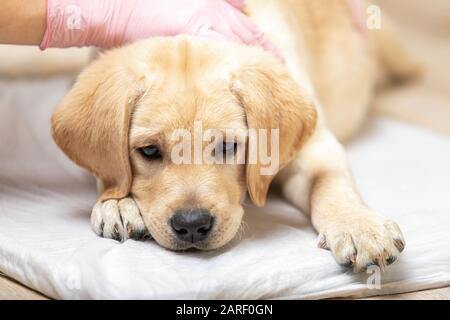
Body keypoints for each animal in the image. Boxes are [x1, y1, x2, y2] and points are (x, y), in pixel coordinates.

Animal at [50, 0, 418, 272]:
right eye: (150, 151)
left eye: (228, 146)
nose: (192, 225)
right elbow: (109, 170)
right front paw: (117, 202)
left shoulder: (315, 143)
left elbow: (330, 181)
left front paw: (359, 225)